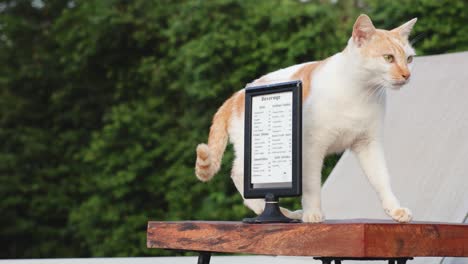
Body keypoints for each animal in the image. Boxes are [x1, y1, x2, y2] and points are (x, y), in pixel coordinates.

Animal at [194, 13, 416, 221]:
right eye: (388, 58)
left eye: (409, 59)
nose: (407, 75)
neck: (360, 93)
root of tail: (236, 95)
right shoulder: (311, 147)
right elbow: (311, 184)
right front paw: (313, 214)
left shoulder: (368, 144)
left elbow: (381, 179)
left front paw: (395, 209)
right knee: (239, 174)